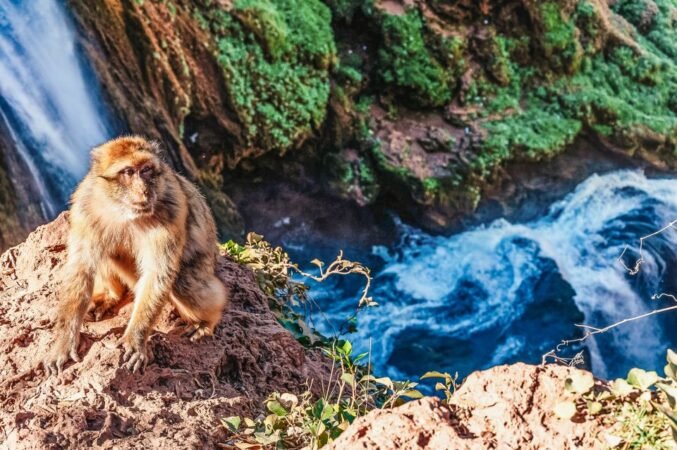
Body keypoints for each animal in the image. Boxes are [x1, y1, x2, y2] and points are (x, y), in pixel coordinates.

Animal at [43, 136, 228, 374]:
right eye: (129, 172)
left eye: (146, 170)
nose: (144, 191)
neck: (121, 210)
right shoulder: (85, 208)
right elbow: (81, 267)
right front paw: (64, 342)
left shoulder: (172, 209)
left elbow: (158, 273)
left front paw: (135, 340)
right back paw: (112, 296)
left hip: (204, 266)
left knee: (183, 282)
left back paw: (206, 321)